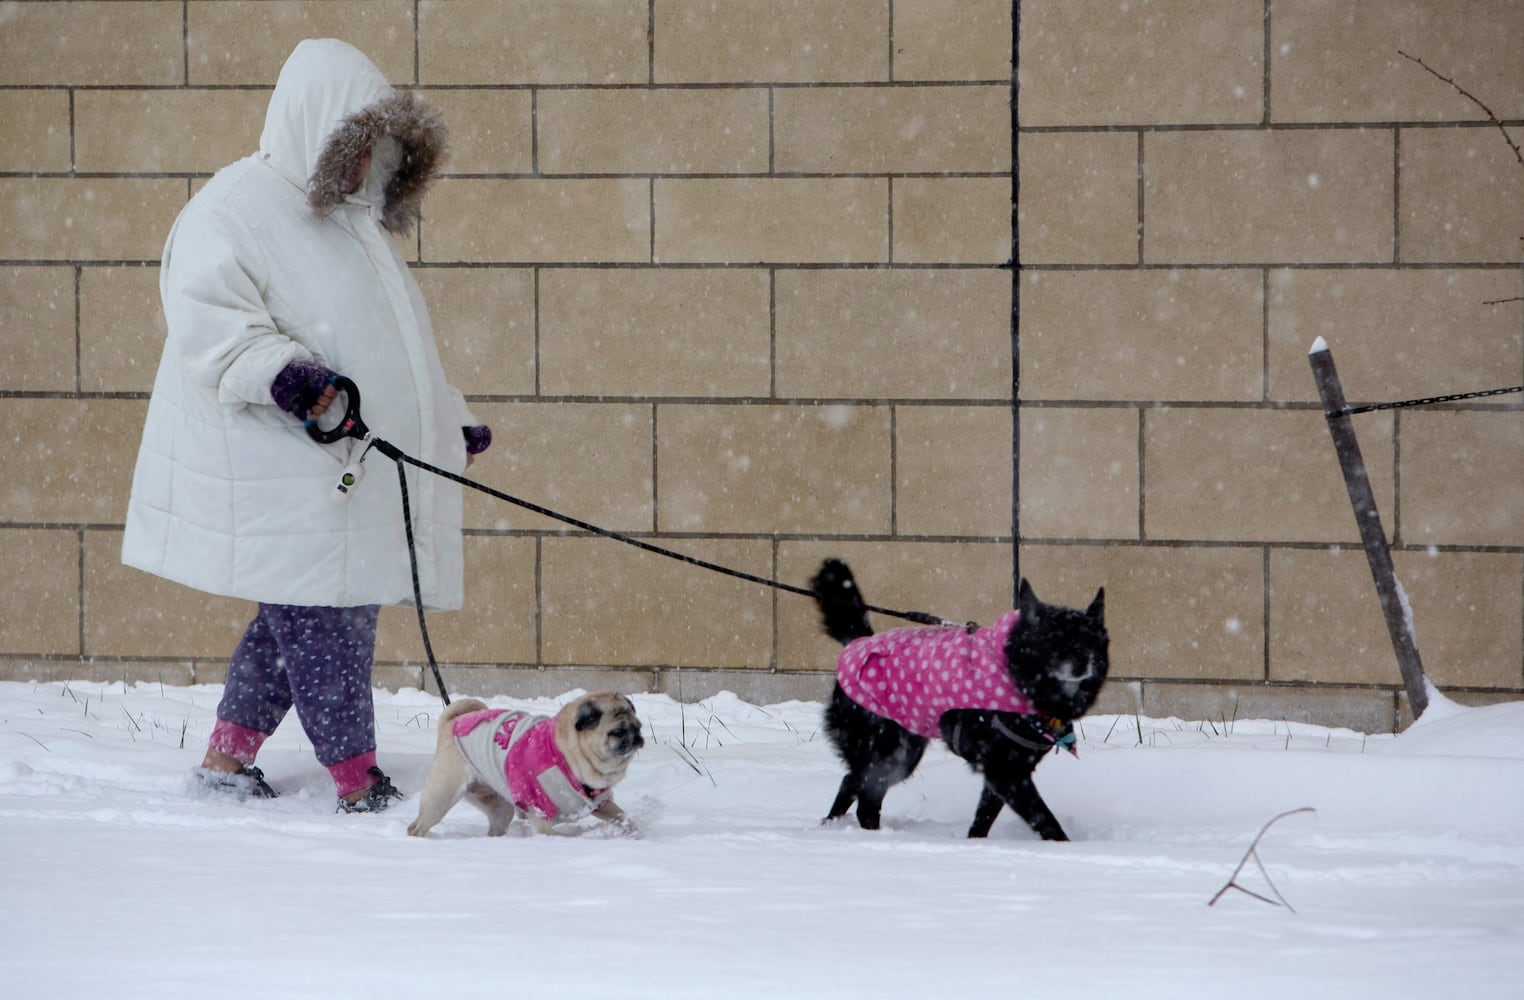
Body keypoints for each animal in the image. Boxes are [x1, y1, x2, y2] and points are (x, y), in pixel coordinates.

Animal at [405, 692, 643, 841]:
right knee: (417, 827)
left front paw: (635, 834)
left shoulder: (601, 804)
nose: (637, 736)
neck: (568, 757)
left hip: (500, 808)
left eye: (639, 726)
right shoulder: (540, 813)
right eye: (618, 732)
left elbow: (624, 817)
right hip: (441, 797)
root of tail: (454, 722)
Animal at [810, 557, 1109, 841]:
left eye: (1089, 639)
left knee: (851, 782)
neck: (1014, 672)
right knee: (866, 800)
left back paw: (832, 826)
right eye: (1053, 639)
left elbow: (983, 818)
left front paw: (974, 844)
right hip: (890, 751)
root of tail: (857, 643)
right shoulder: (1005, 771)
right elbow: (1045, 820)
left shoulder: (1009, 770)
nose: (1082, 663)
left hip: (899, 750)